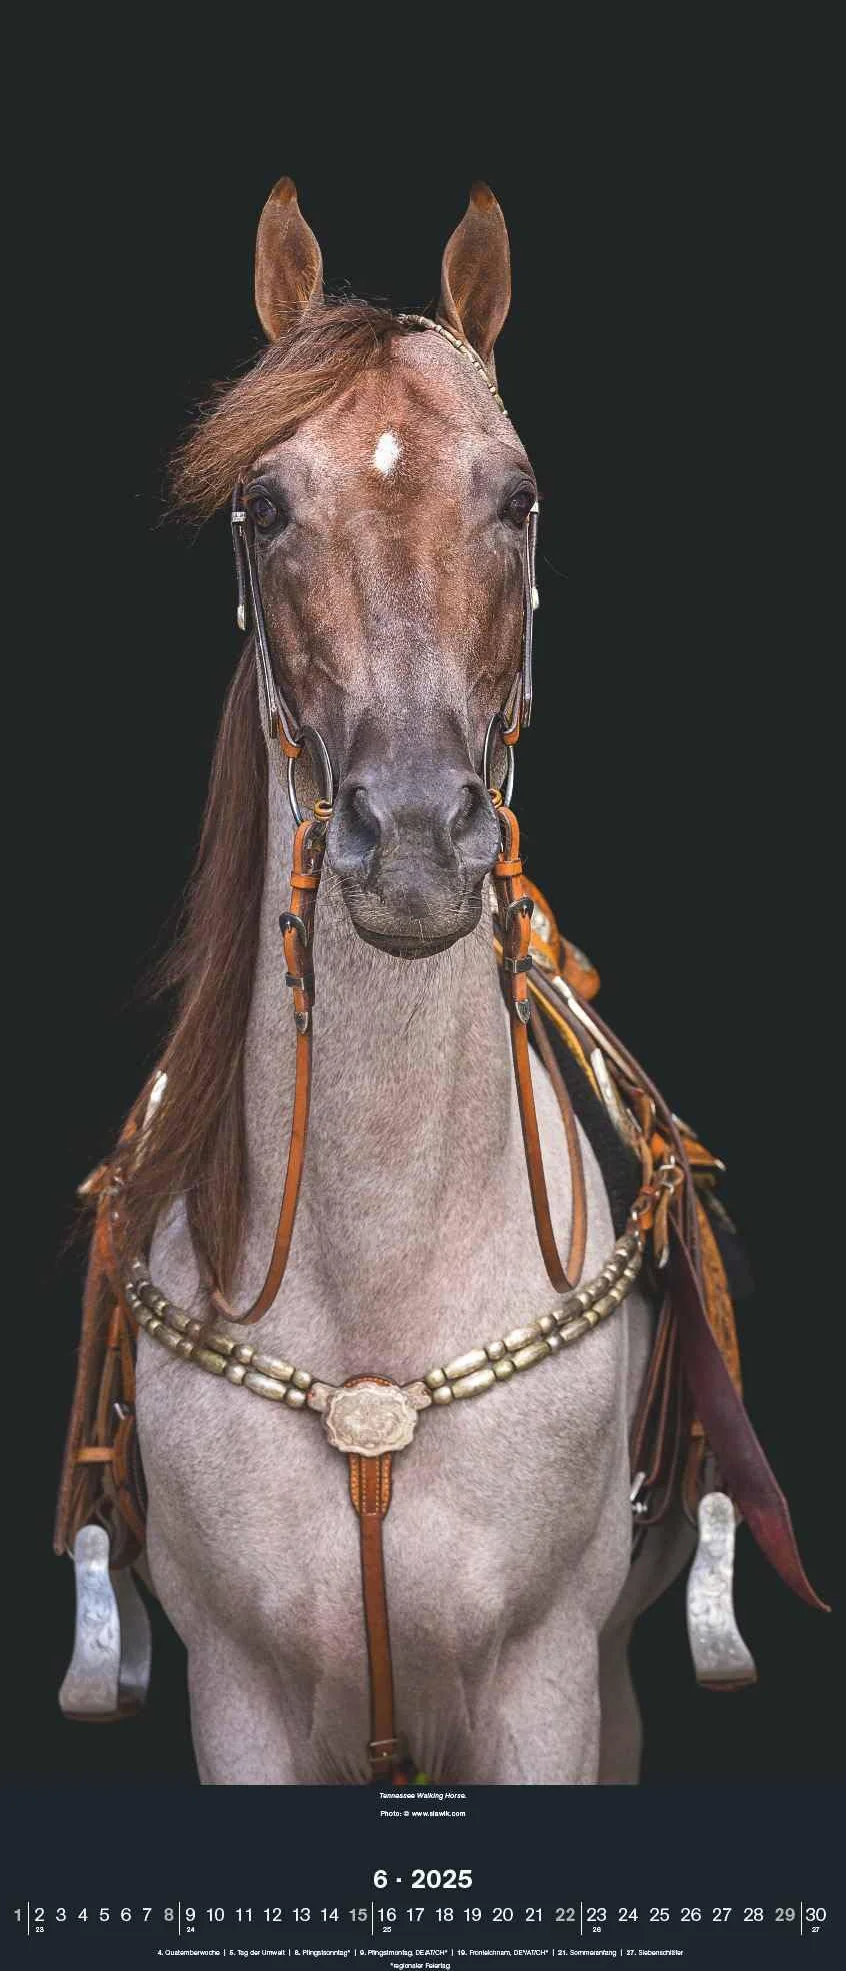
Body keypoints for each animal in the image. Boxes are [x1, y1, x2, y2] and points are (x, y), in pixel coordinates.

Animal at [60, 179, 819, 1786]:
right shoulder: (240, 1699)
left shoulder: (544, 1686)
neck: (379, 1283)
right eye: (263, 505)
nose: (412, 836)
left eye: (516, 496)